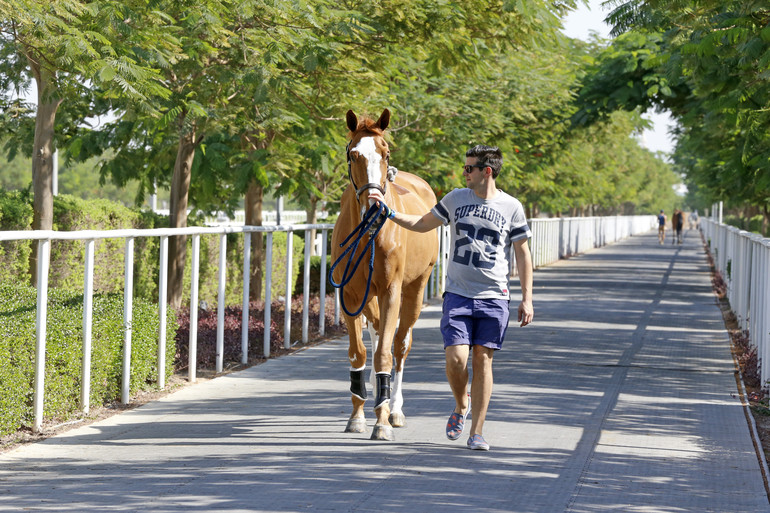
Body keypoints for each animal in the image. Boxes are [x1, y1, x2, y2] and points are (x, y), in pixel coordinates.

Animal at [332, 109, 438, 440]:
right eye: (353, 154)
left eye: (385, 152)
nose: (374, 205)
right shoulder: (350, 295)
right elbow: (358, 353)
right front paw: (357, 415)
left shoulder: (391, 291)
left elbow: (384, 355)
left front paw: (382, 421)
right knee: (379, 332)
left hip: (415, 289)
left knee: (400, 344)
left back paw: (395, 408)